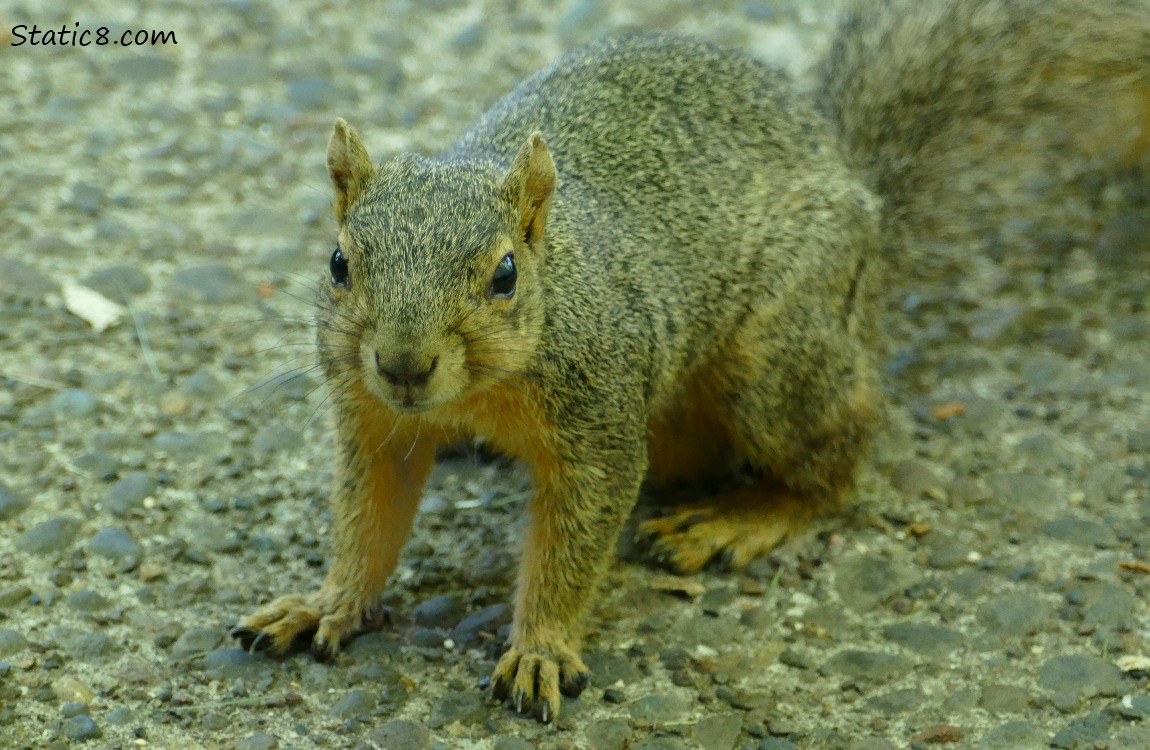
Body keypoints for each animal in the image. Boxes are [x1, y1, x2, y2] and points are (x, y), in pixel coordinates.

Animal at [228, 0, 1145, 722]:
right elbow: (367, 523)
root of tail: (866, 201)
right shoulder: (373, 422)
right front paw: (325, 602)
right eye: (339, 263)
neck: (478, 391)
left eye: (504, 276)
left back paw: (740, 518)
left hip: (776, 366)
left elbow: (571, 547)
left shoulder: (600, 425)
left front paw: (539, 647)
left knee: (841, 455)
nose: (404, 365)